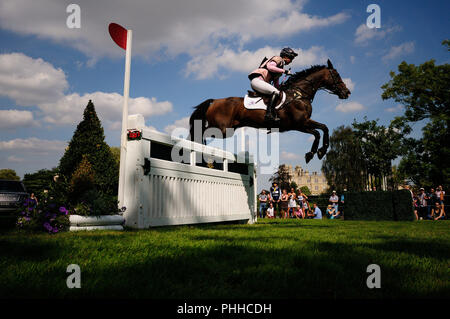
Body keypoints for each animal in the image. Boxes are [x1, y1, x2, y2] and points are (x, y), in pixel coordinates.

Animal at [188, 59, 350, 164]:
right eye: (336, 75)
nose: (347, 93)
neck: (299, 94)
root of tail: (214, 101)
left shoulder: (302, 123)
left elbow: (324, 128)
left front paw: (320, 151)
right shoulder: (299, 124)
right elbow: (318, 132)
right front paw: (313, 153)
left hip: (228, 129)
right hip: (222, 129)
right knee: (200, 132)